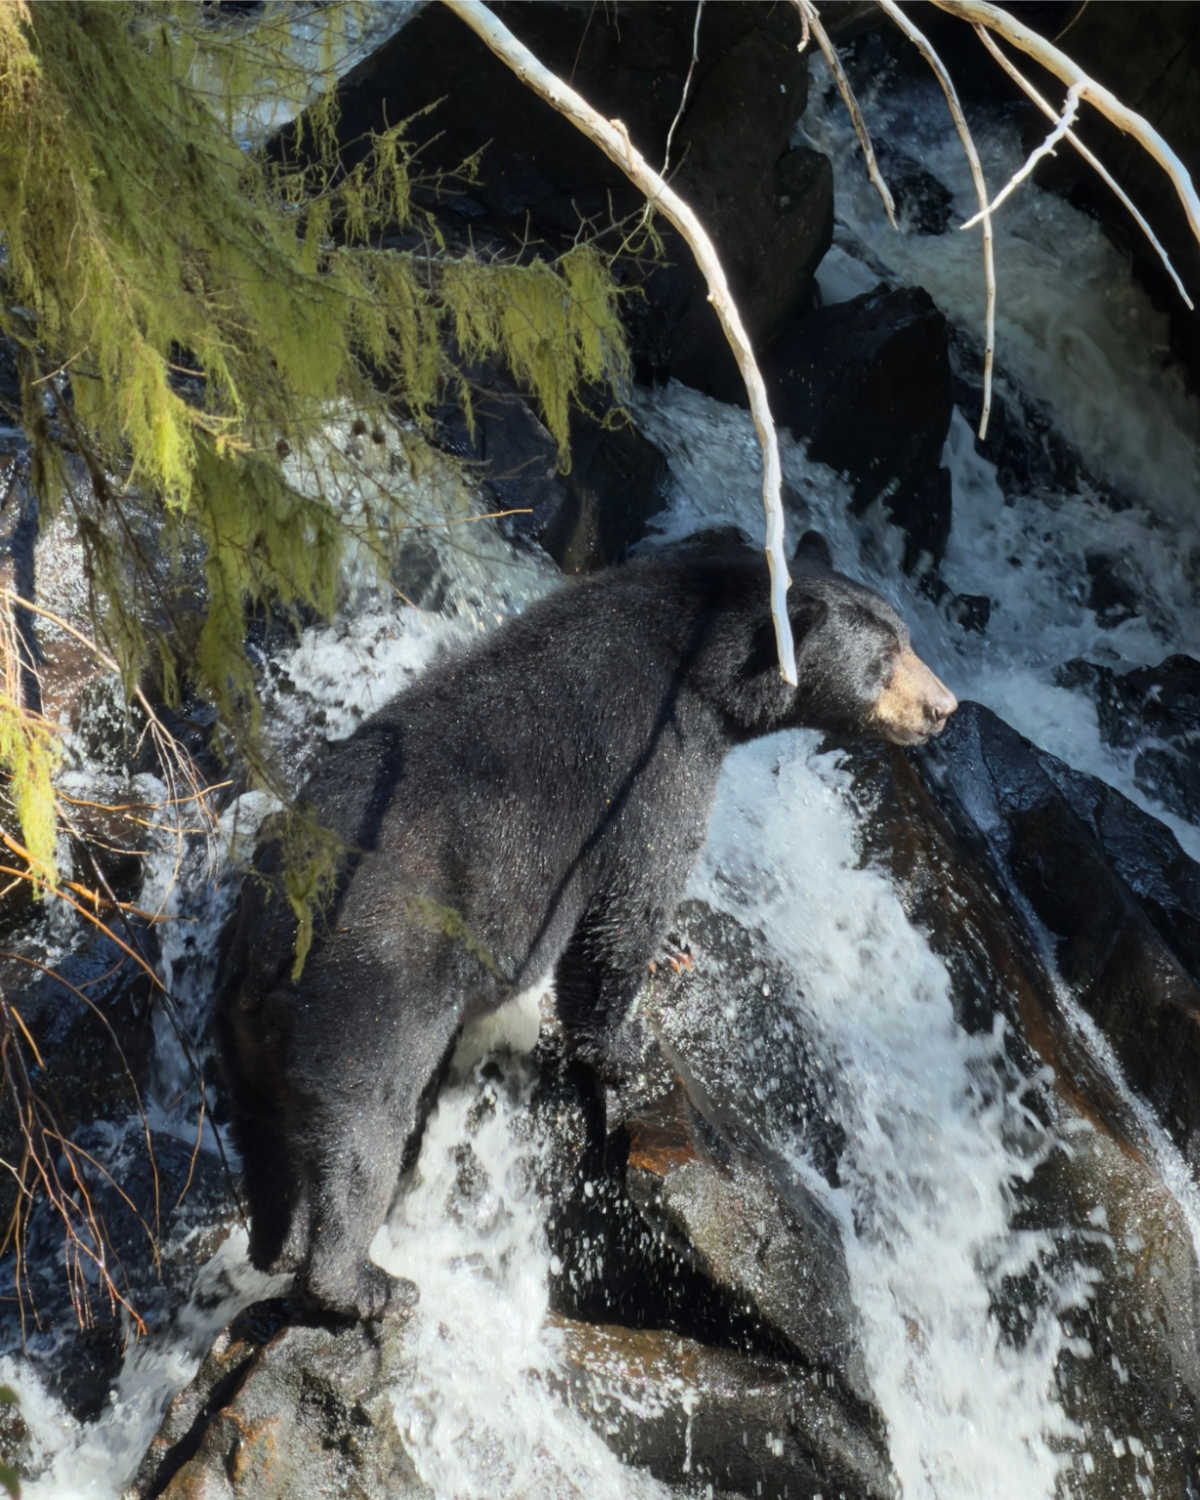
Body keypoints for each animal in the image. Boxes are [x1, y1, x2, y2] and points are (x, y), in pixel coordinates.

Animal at [215, 533, 956, 1320]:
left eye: (907, 637)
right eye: (886, 658)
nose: (945, 707)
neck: (704, 668)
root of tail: (267, 949)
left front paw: (675, 952)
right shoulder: (650, 769)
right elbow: (624, 911)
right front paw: (625, 1046)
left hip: (244, 1040)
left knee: (265, 1139)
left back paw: (278, 1245)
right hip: (375, 986)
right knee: (364, 1125)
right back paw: (362, 1282)